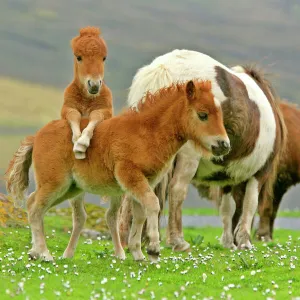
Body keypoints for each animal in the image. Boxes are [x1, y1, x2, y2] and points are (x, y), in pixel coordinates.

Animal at [5, 80, 229, 262]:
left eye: (220, 114)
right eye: (203, 114)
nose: (224, 145)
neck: (146, 134)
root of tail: (36, 136)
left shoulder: (143, 181)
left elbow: (140, 213)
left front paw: (138, 253)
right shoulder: (130, 176)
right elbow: (152, 204)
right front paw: (153, 249)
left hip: (70, 188)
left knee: (34, 204)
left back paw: (34, 252)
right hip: (55, 184)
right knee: (35, 207)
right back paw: (44, 254)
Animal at [120, 49, 286, 251]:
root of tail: (164, 69)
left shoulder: (227, 177)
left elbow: (227, 208)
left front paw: (228, 242)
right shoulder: (260, 172)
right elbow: (249, 204)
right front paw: (244, 242)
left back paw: (127, 241)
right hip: (190, 157)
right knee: (177, 190)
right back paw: (178, 241)